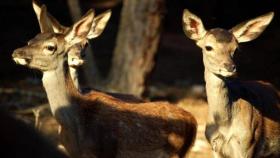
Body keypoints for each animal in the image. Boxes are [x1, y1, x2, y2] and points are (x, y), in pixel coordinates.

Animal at [183, 8, 278, 158]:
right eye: (208, 47)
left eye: (236, 49)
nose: (230, 67)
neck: (224, 125)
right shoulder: (214, 145)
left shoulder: (248, 143)